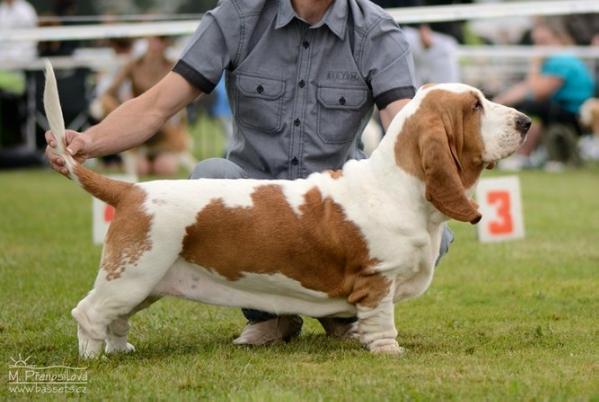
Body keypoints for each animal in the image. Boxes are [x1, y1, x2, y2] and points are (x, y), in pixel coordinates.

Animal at [43, 62, 528, 358]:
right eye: (475, 105)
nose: (525, 122)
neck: (397, 186)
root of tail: (131, 192)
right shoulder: (378, 280)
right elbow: (381, 323)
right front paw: (390, 352)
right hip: (132, 275)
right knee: (88, 313)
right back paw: (93, 359)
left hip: (144, 283)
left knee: (116, 319)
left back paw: (121, 350)